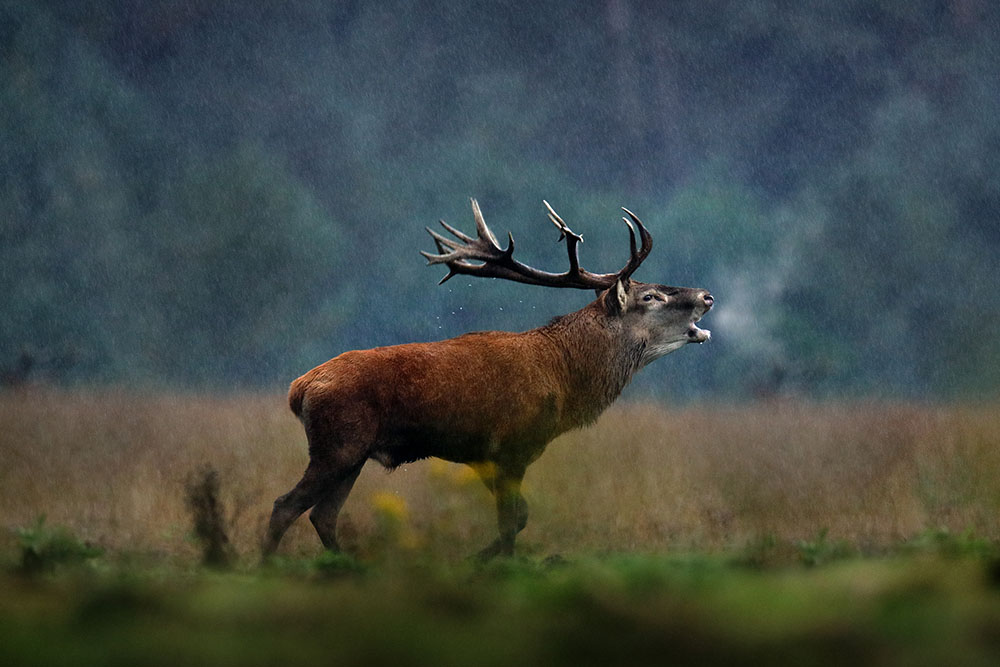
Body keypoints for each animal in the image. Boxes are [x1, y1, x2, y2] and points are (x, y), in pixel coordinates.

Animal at [263, 199, 713, 560]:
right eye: (650, 296)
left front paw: (479, 558)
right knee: (286, 505)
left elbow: (520, 517)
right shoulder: (512, 445)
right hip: (338, 443)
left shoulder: (483, 455)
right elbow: (510, 521)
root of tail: (298, 388)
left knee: (323, 515)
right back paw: (270, 567)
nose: (706, 296)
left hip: (353, 454)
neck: (565, 379)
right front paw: (497, 563)